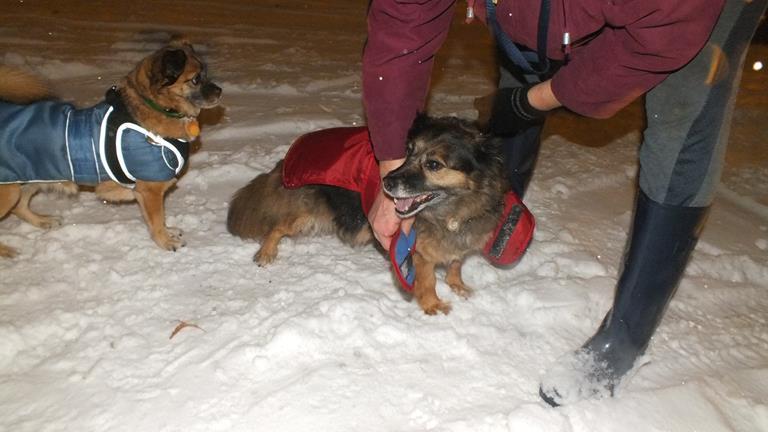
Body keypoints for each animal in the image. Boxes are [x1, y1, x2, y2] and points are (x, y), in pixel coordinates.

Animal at [0, 40, 222, 257]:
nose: (220, 91)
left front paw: (168, 232)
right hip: (11, 190)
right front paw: (165, 241)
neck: (154, 106)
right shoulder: (150, 190)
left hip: (30, 179)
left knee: (19, 207)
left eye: (206, 72)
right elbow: (157, 220)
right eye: (195, 79)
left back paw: (43, 221)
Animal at [227, 115, 515, 315]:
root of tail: (287, 159)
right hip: (306, 214)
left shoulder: (460, 241)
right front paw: (432, 305)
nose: (386, 181)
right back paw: (266, 252)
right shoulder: (418, 253)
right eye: (408, 152)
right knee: (277, 226)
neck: (452, 210)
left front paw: (458, 285)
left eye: (433, 164)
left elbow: (455, 264)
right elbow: (428, 280)